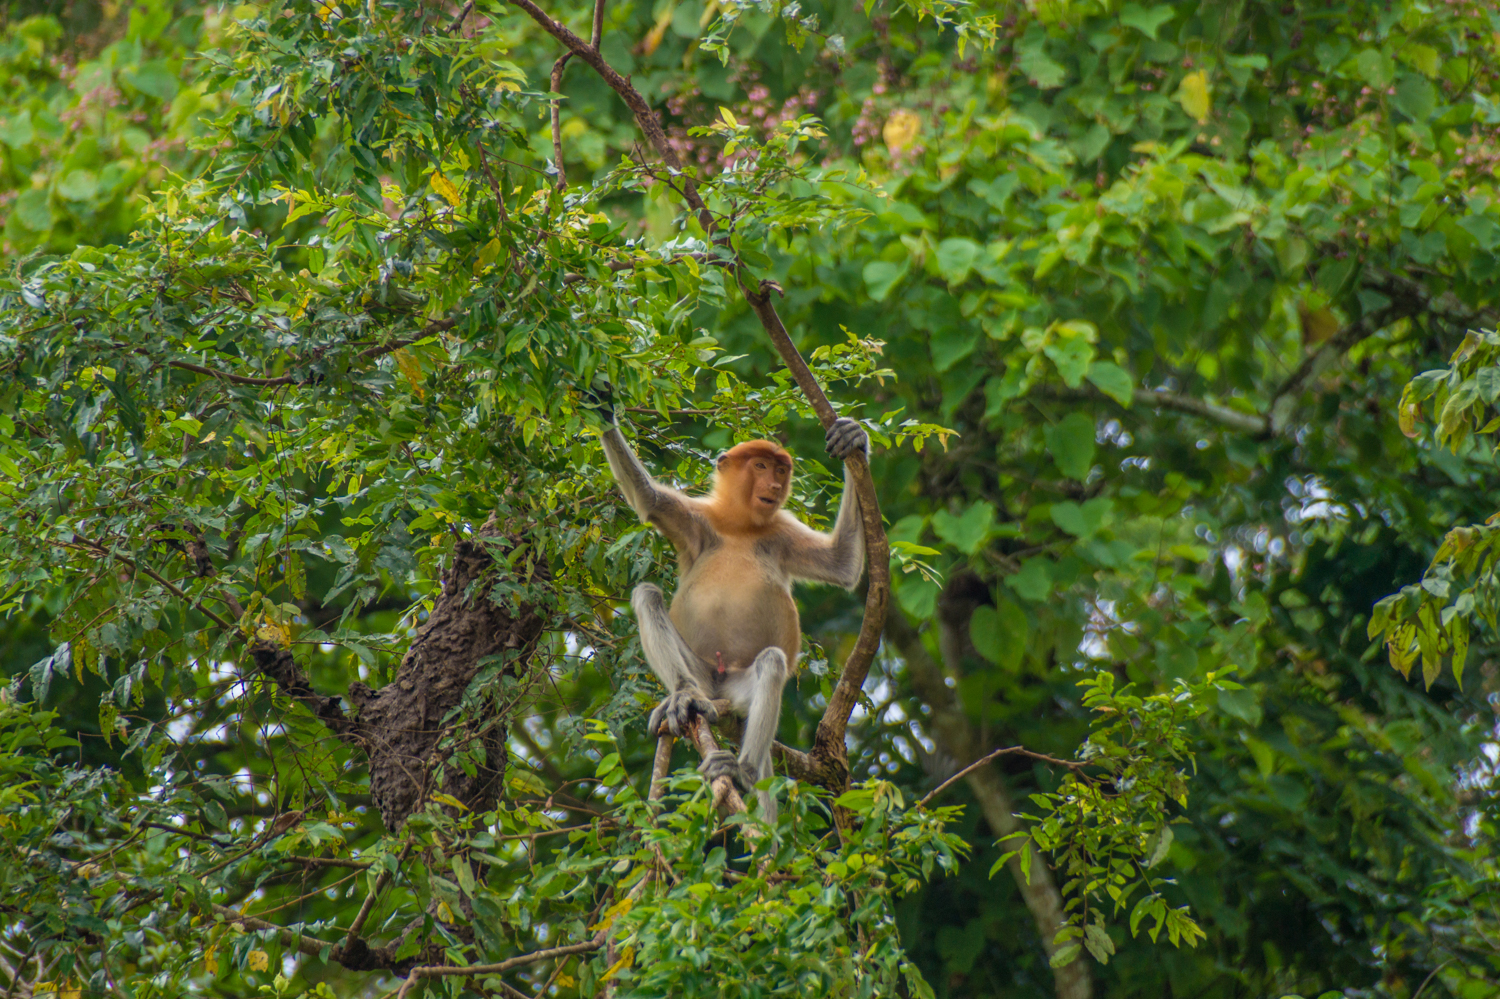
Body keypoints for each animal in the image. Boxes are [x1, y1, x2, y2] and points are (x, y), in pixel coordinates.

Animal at [603, 405, 876, 816]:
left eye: (780, 470)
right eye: (760, 466)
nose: (775, 487)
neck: (741, 525)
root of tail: (719, 682)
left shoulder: (780, 532)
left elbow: (841, 563)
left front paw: (853, 437)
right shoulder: (697, 519)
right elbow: (649, 500)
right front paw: (602, 410)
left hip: (739, 686)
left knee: (771, 663)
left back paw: (742, 770)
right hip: (699, 669)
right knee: (647, 595)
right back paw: (684, 695)